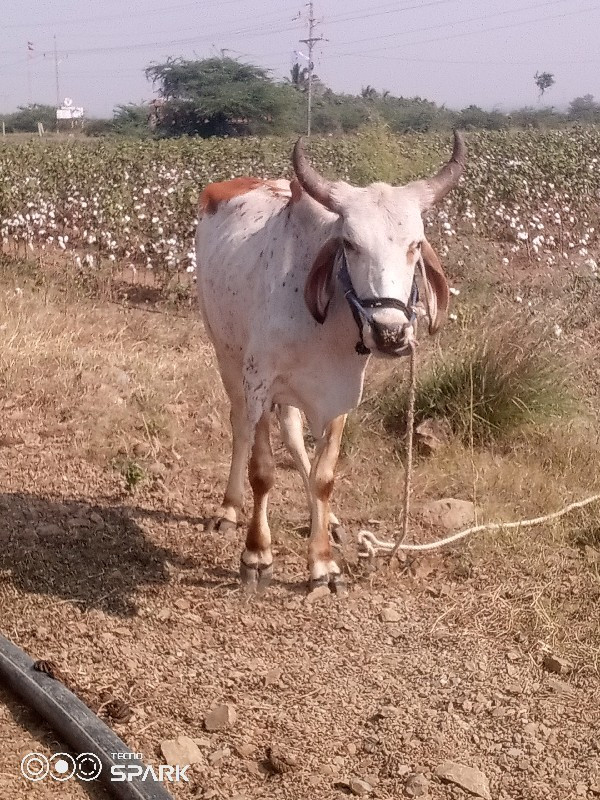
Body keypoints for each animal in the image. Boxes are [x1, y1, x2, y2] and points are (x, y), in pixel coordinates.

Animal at [195, 131, 466, 592]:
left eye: (415, 245)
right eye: (350, 244)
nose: (390, 333)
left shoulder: (339, 393)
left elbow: (324, 477)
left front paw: (322, 563)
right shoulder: (258, 379)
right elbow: (262, 471)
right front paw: (257, 555)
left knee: (292, 435)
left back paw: (330, 521)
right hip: (226, 354)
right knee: (240, 428)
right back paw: (229, 509)